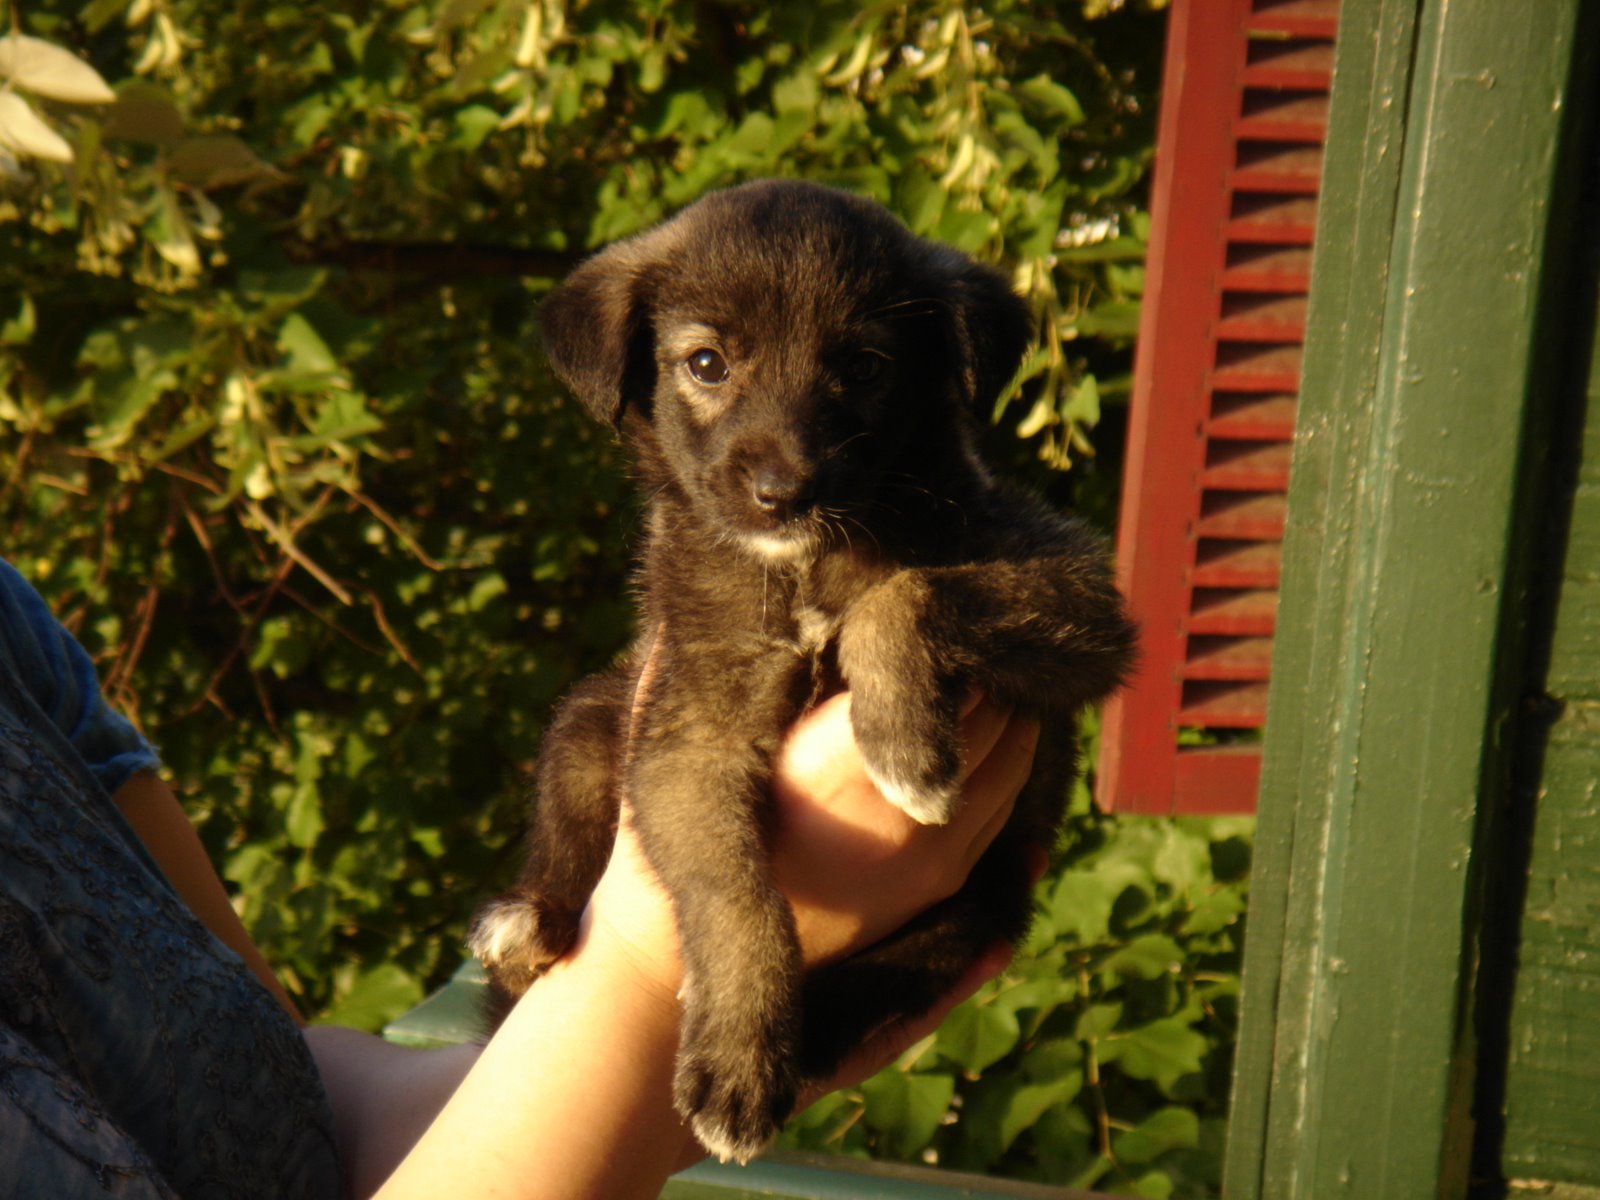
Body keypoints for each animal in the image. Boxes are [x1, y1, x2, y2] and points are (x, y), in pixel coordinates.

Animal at [468, 179, 1135, 1163]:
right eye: (706, 363)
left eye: (864, 367)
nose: (785, 494)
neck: (803, 566)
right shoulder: (690, 733)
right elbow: (737, 900)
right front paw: (741, 1059)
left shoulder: (1081, 601)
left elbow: (904, 593)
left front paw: (904, 745)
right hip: (593, 720)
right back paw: (528, 922)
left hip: (974, 909)